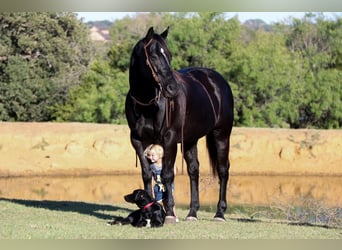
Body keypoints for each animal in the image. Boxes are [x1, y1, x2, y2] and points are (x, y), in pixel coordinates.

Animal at [125, 27, 235, 223]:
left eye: (169, 55)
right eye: (153, 56)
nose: (172, 88)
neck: (147, 105)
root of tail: (217, 80)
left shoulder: (169, 140)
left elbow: (167, 175)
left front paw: (169, 212)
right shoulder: (137, 141)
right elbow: (146, 174)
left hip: (221, 134)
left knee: (223, 170)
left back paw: (219, 213)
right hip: (190, 140)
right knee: (194, 170)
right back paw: (192, 213)